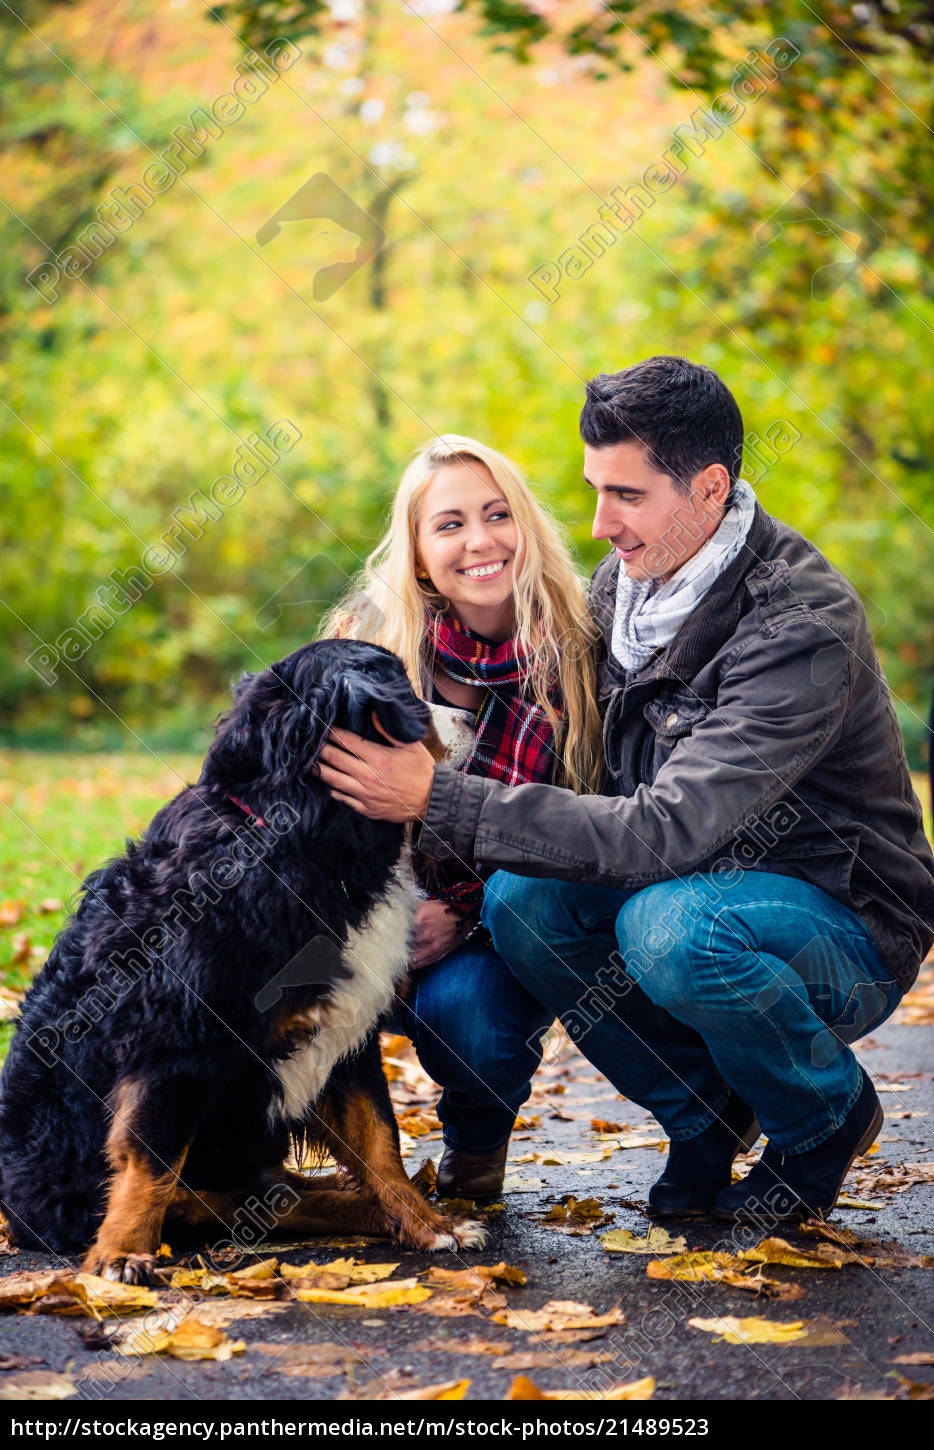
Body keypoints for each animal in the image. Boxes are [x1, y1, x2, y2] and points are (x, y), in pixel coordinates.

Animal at [0, 635, 481, 1281]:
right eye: (404, 690)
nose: (473, 717)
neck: (302, 848)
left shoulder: (349, 1030)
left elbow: (380, 1142)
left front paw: (429, 1225)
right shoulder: (178, 1041)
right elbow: (151, 1158)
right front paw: (121, 1256)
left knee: (278, 1195)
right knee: (221, 1198)